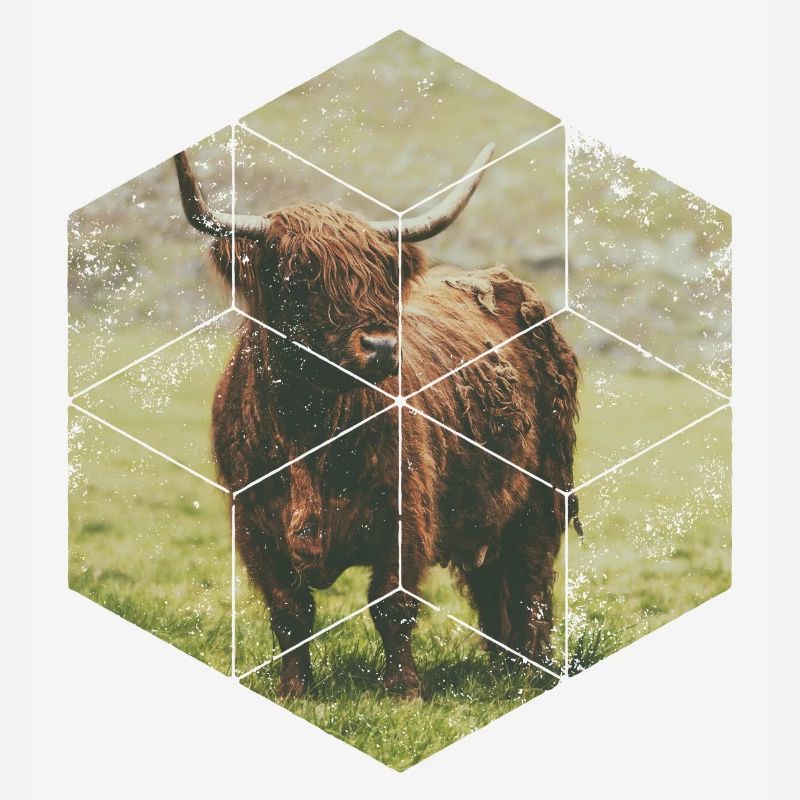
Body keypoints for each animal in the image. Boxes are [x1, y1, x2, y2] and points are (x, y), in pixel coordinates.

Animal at [174, 146, 580, 699]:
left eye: (382, 275)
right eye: (299, 275)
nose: (383, 346)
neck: (311, 426)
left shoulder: (405, 517)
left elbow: (393, 605)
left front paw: (404, 690)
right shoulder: (255, 527)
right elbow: (289, 612)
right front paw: (296, 689)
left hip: (542, 494)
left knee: (530, 579)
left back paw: (531, 668)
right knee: (493, 583)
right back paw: (502, 665)